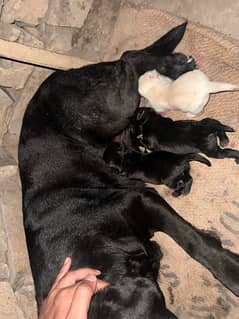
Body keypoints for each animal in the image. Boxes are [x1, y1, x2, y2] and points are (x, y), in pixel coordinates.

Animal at [18, 23, 239, 319]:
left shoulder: (142, 199)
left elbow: (194, 242)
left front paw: (231, 271)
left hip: (113, 107)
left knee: (130, 59)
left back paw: (176, 63)